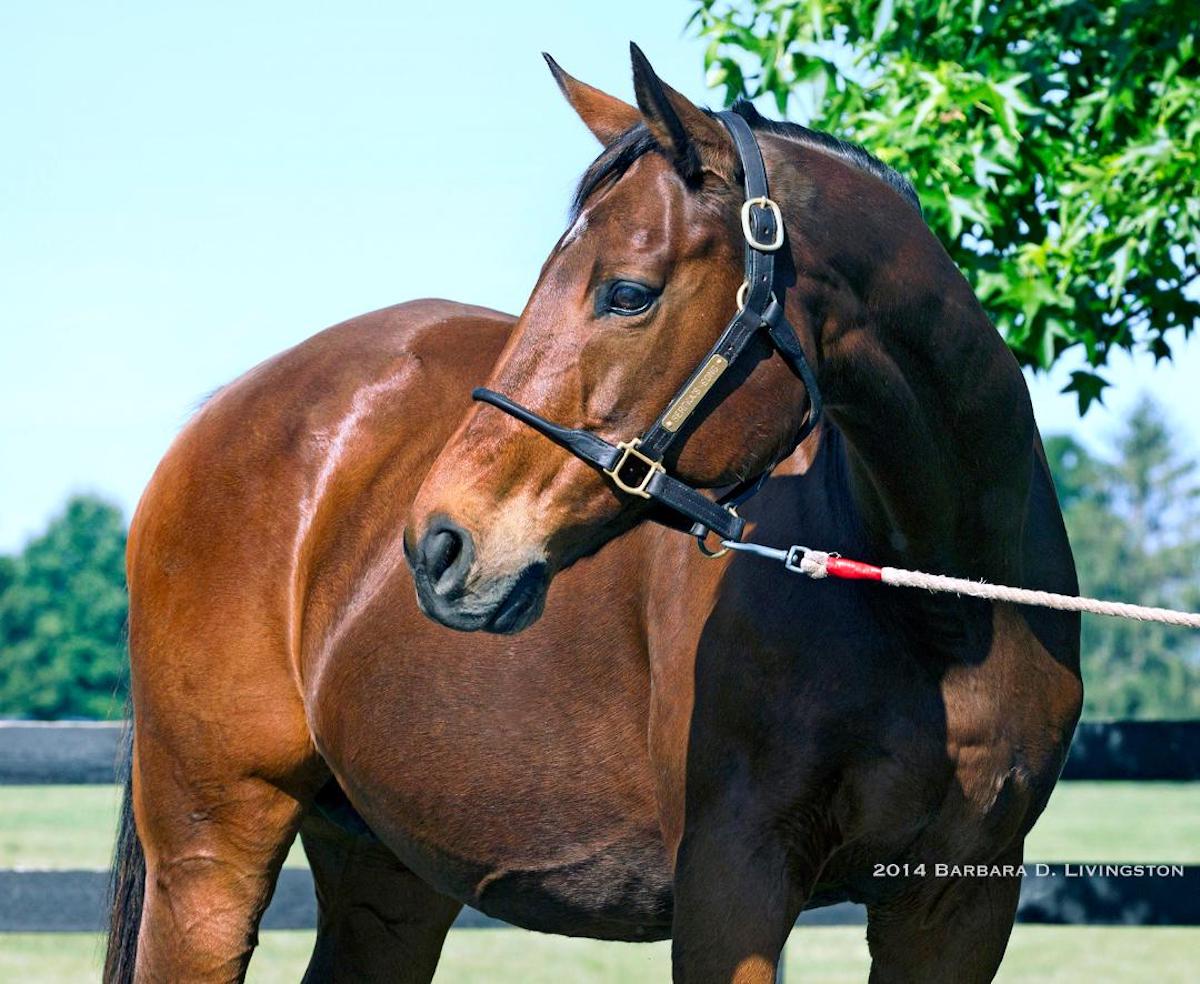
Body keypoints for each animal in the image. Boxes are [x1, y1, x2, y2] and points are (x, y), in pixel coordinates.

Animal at [105, 44, 1080, 984]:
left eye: (628, 292)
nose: (438, 546)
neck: (941, 611)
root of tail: (222, 413)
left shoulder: (957, 905)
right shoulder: (733, 886)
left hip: (387, 868)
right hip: (211, 852)